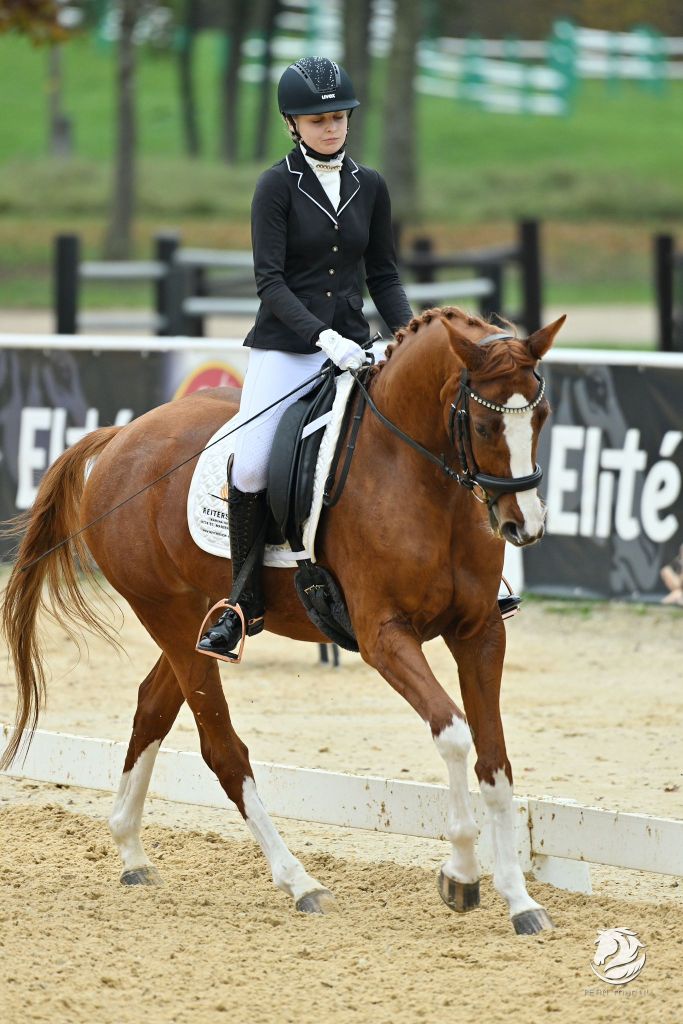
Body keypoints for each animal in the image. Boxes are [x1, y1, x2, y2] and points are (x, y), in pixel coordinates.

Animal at [1, 306, 564, 934]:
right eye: (486, 426)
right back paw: (300, 883)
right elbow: (455, 736)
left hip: (199, 622)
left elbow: (495, 759)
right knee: (223, 750)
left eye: (541, 415)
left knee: (152, 706)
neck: (418, 476)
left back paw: (131, 851)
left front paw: (520, 900)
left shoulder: (480, 633)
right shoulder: (384, 637)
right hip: (165, 612)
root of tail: (121, 437)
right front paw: (461, 874)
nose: (523, 526)